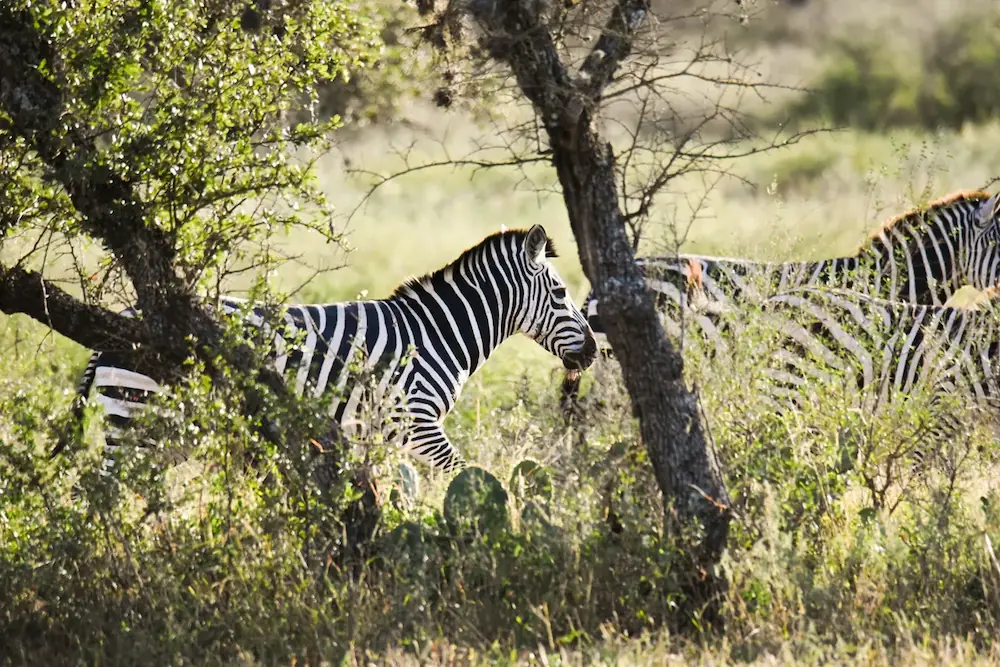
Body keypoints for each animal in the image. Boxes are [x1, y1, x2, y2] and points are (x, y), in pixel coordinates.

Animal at [62, 225, 598, 474]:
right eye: (558, 294)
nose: (593, 351)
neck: (435, 333)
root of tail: (122, 319)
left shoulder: (380, 432)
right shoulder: (418, 422)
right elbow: (464, 476)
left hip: (153, 427)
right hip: (138, 414)